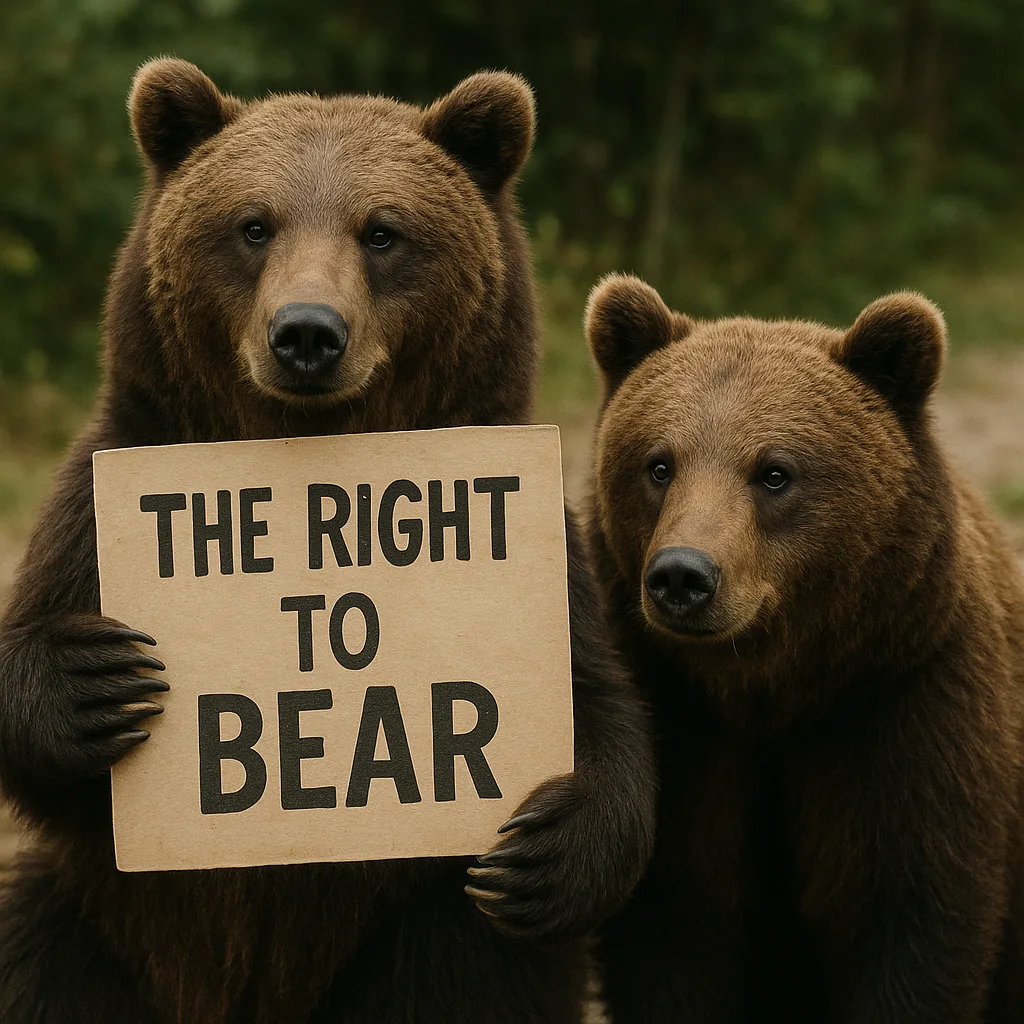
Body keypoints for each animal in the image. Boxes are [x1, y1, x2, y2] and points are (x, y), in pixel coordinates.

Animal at [0, 62, 656, 1024]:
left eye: (382, 231)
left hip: (413, 936)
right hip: (94, 926)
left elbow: (599, 699)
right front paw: (97, 677)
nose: (307, 332)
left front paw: (546, 847)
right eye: (253, 224)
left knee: (468, 970)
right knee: (42, 959)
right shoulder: (99, 496)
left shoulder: (544, 543)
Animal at [582, 274, 1024, 1023]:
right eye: (658, 464)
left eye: (774, 472)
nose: (682, 576)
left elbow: (912, 931)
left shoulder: (905, 714)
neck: (777, 689)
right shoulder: (687, 728)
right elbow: (672, 938)